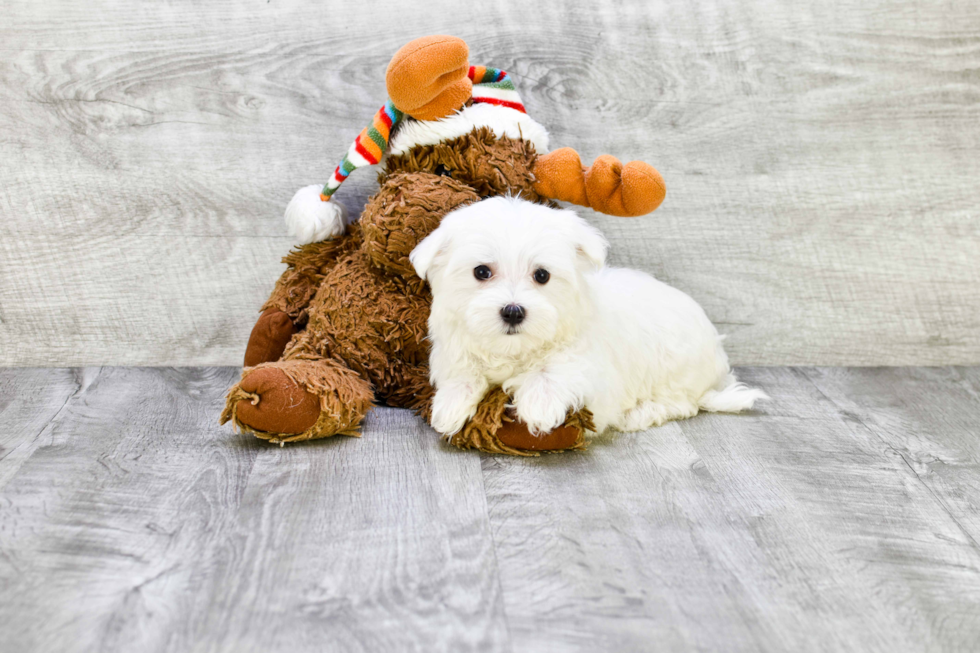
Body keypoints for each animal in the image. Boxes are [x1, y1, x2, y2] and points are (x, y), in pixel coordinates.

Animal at [412, 196, 764, 436]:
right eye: (481, 272)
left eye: (542, 275)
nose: (513, 311)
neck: (514, 351)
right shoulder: (456, 349)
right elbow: (462, 372)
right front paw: (451, 404)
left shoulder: (593, 369)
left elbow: (557, 371)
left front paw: (539, 406)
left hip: (676, 370)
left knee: (683, 403)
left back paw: (640, 413)